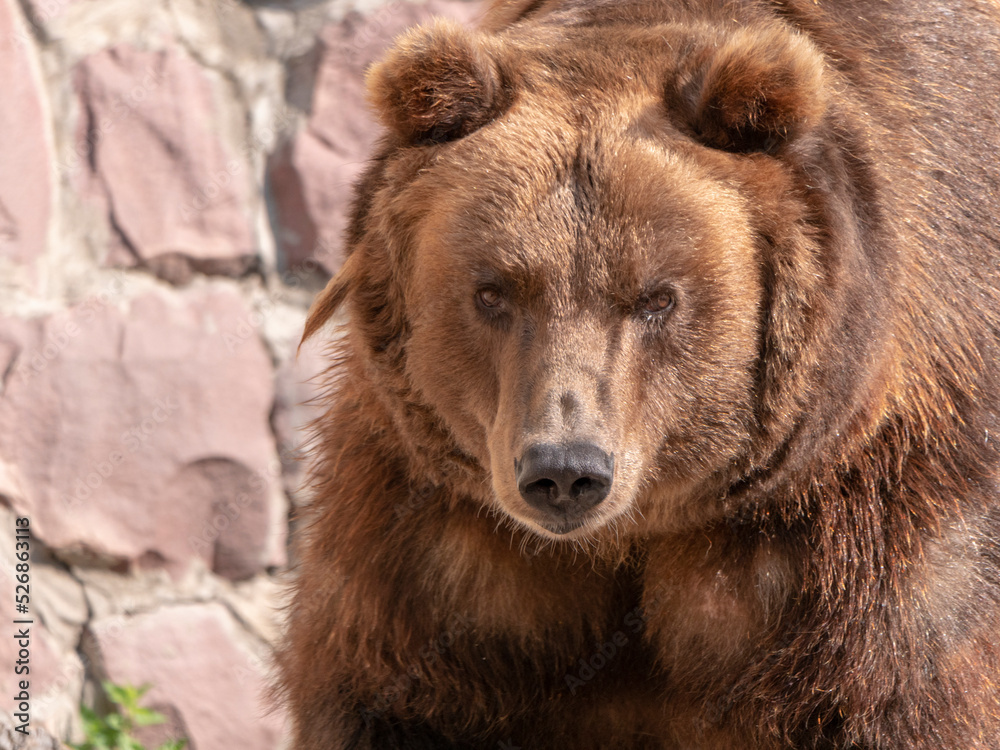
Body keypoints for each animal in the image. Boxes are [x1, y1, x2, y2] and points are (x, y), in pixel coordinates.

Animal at [278, 0, 1000, 748]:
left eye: (656, 296)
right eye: (493, 291)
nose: (565, 471)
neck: (635, 534)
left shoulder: (871, 530)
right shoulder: (435, 538)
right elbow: (391, 695)